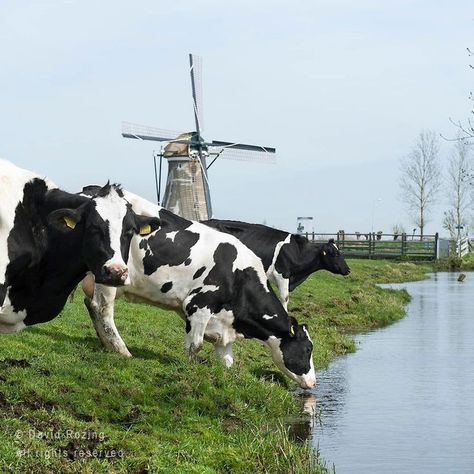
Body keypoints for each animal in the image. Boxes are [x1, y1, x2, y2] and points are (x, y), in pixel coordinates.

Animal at [81, 189, 316, 388]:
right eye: (308, 349)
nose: (313, 383)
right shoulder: (198, 305)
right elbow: (195, 346)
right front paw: (191, 371)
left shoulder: (224, 327)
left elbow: (227, 360)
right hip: (110, 275)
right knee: (102, 309)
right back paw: (121, 350)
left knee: (90, 304)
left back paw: (106, 344)